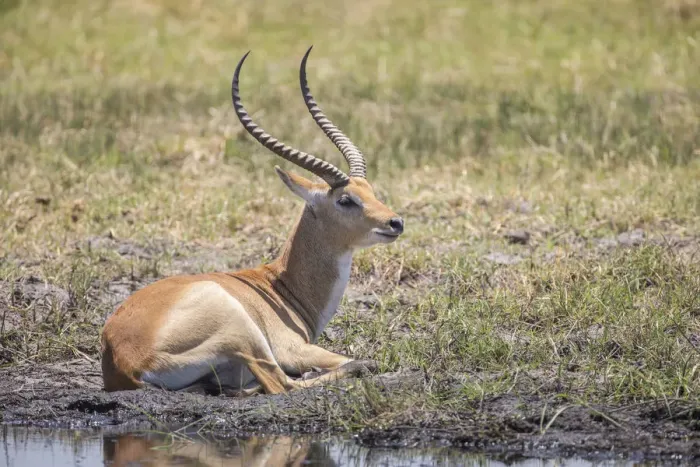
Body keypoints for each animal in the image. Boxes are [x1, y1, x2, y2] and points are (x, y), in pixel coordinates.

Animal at [100, 47, 404, 395]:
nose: (395, 223)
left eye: (370, 190)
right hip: (243, 330)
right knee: (284, 383)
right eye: (345, 200)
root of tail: (126, 362)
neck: (280, 287)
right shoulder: (294, 349)